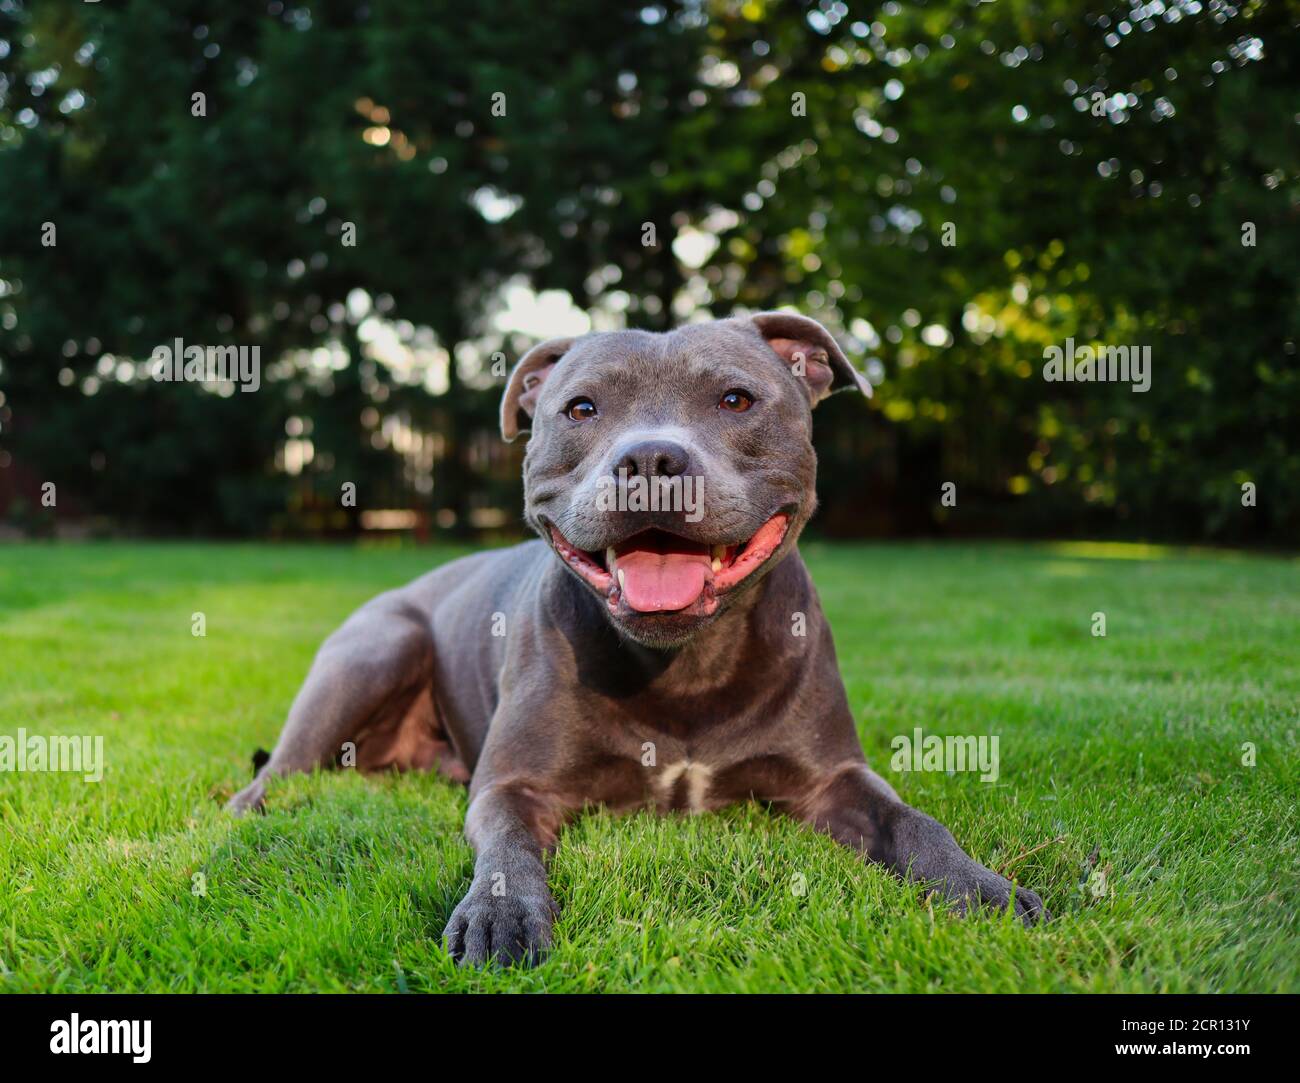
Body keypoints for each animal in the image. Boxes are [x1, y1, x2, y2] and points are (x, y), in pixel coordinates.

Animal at [228, 312, 1050, 962]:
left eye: (735, 398)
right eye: (581, 408)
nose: (653, 459)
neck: (684, 664)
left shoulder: (835, 779)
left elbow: (915, 823)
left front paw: (982, 888)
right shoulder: (512, 786)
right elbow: (507, 849)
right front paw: (499, 916)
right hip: (377, 646)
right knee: (281, 771)